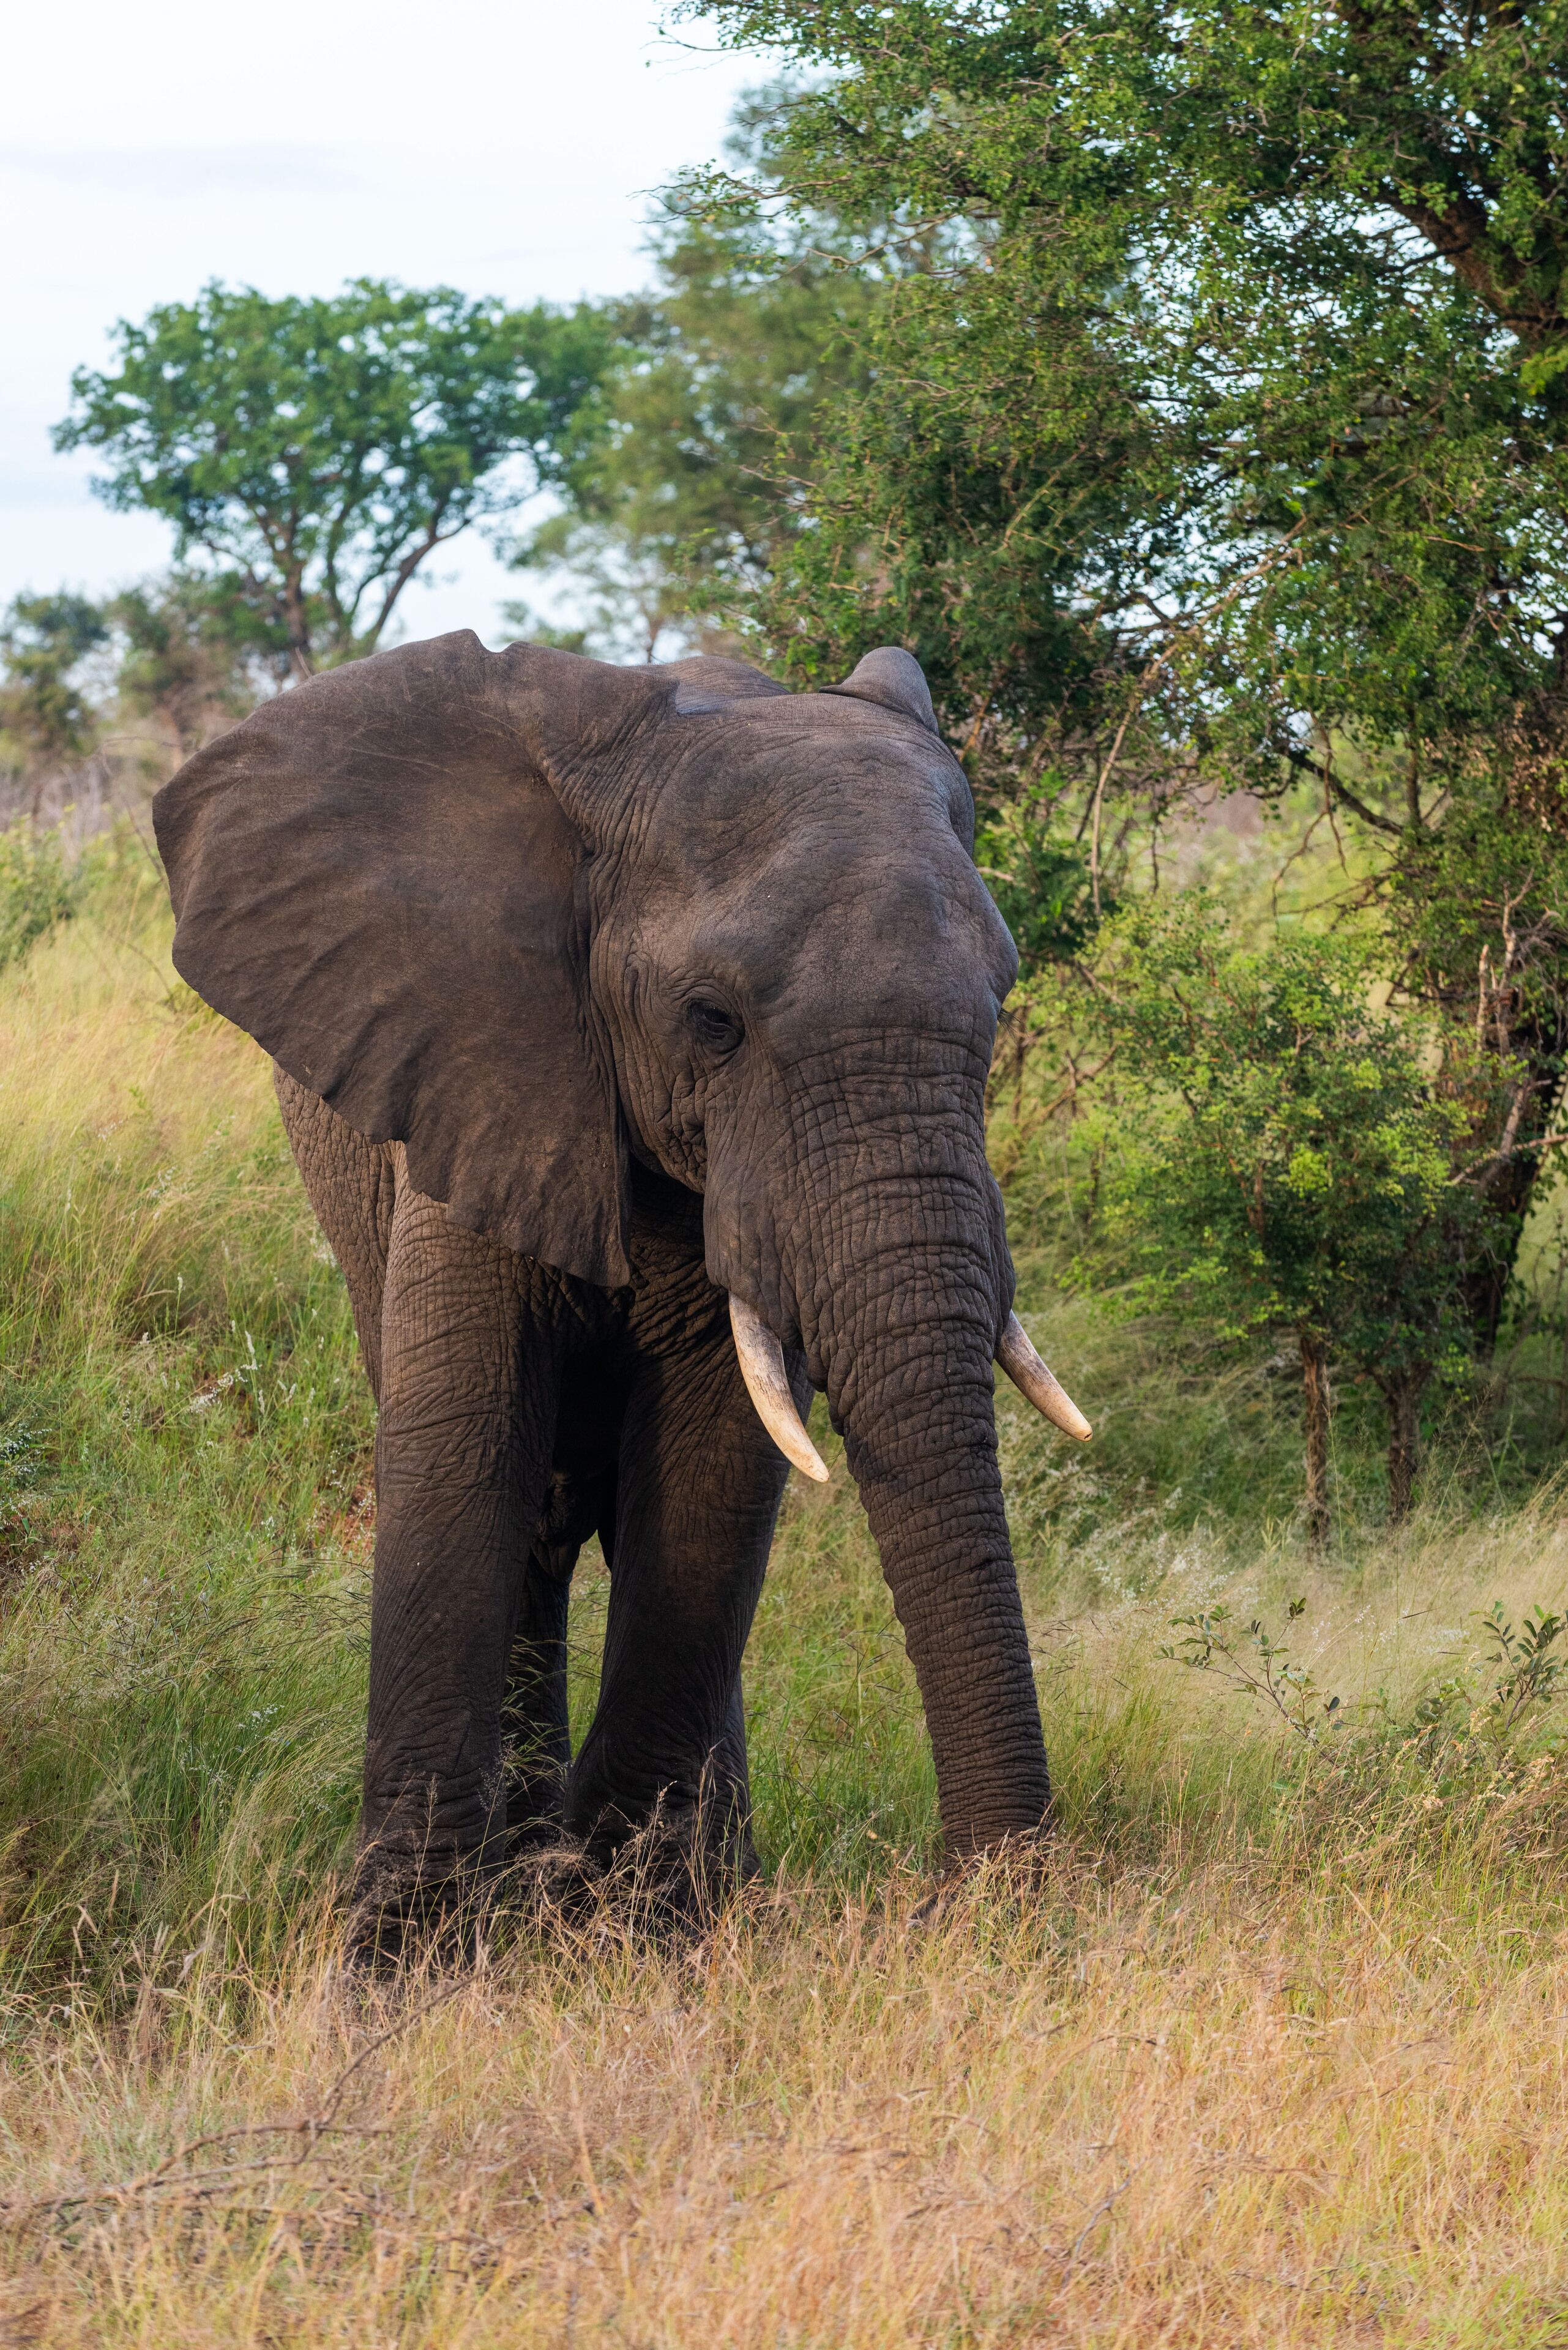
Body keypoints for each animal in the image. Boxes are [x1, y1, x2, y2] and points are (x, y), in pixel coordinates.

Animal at [152, 631, 1090, 1929]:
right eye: (711, 1021)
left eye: (999, 1008)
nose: (969, 1900)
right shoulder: (476, 1067)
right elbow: (463, 1447)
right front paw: (413, 1951)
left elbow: (714, 1462)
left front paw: (631, 1924)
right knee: (537, 1508)